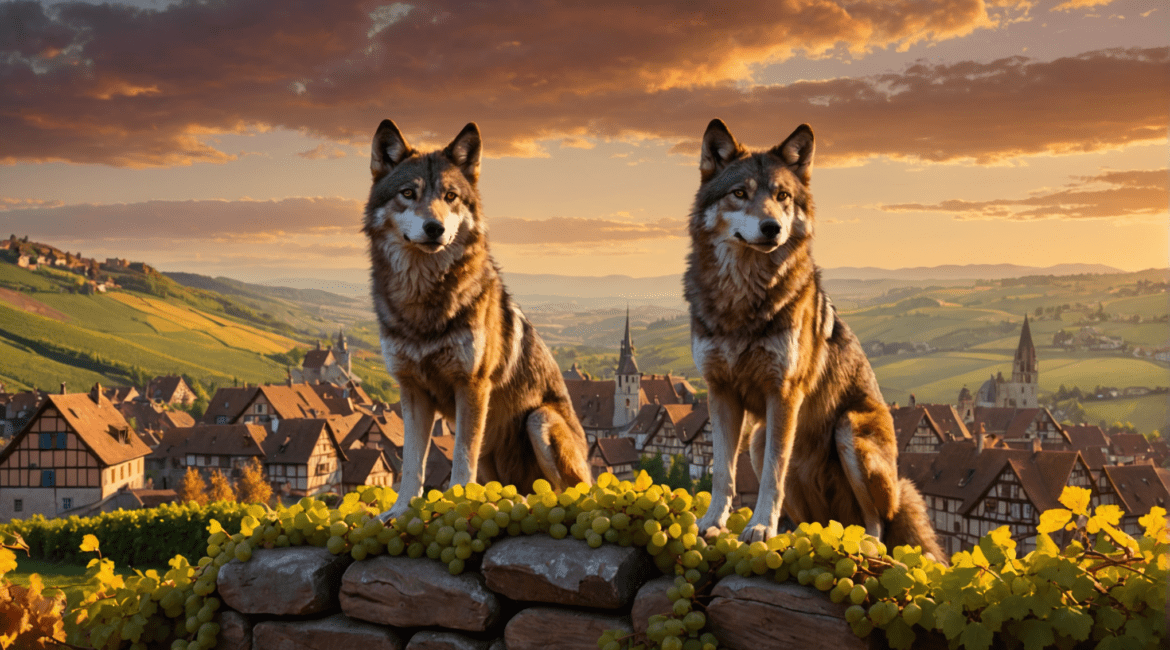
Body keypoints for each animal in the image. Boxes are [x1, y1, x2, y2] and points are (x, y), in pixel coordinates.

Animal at [363, 119, 592, 524]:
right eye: (408, 193)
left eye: (451, 196)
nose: (434, 227)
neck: (423, 298)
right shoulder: (412, 390)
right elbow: (411, 464)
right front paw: (399, 512)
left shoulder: (471, 386)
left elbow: (460, 460)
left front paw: (455, 505)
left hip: (539, 420)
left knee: (569, 493)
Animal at [685, 119, 944, 560]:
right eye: (740, 193)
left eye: (782, 196)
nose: (772, 227)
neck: (742, 294)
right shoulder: (719, 392)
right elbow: (722, 472)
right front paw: (711, 524)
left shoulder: (784, 393)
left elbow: (772, 475)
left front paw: (759, 530)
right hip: (758, 439)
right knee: (818, 519)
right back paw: (802, 535)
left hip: (849, 433)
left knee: (877, 521)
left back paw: (862, 545)